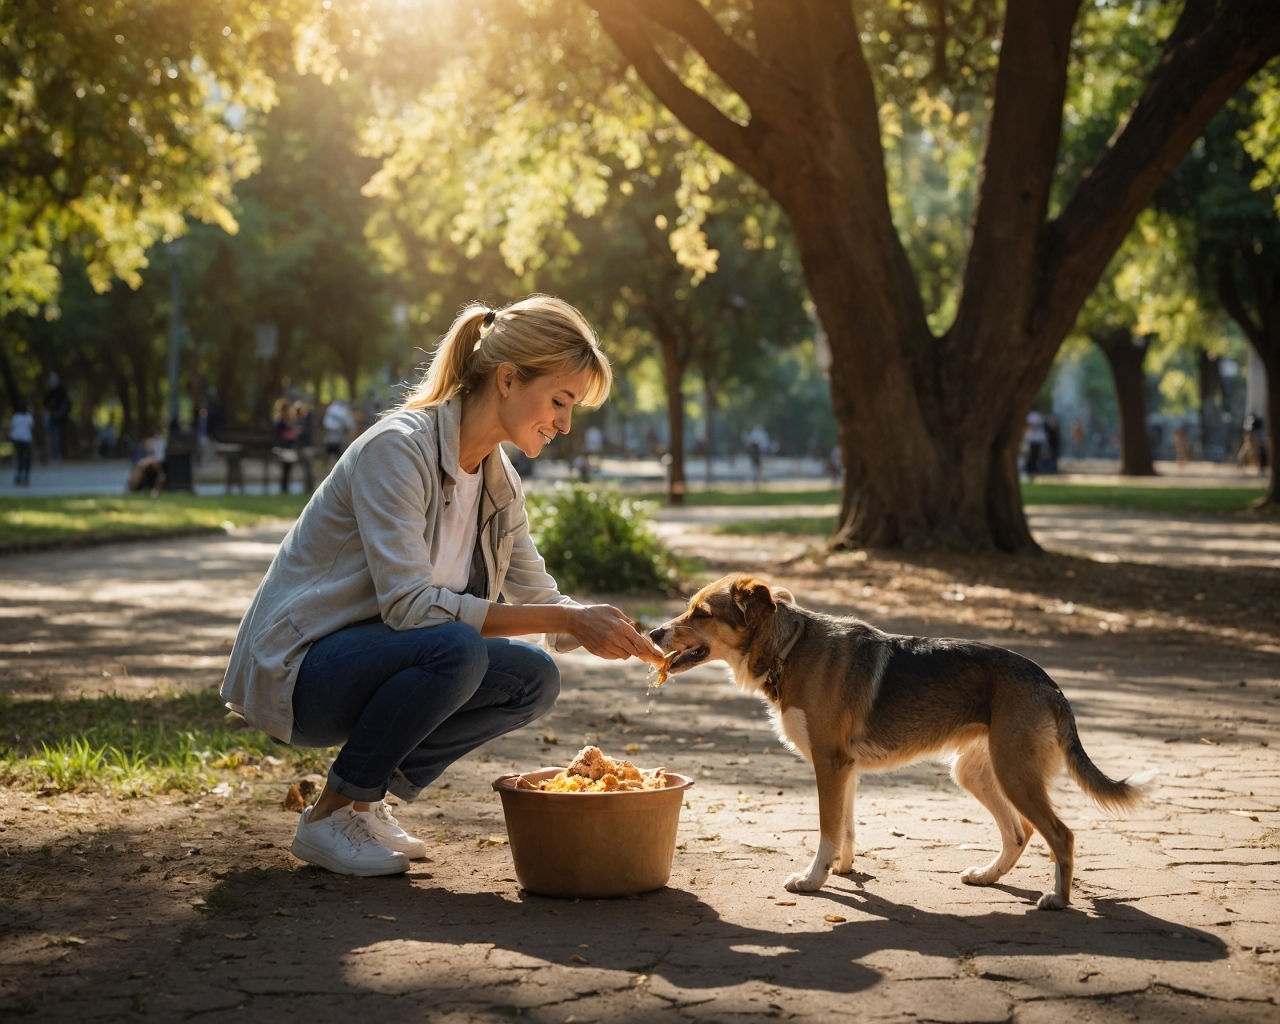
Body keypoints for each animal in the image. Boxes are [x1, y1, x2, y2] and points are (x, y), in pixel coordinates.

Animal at [650, 570, 1152, 906]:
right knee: (1020, 832)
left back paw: (1058, 899)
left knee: (1059, 835)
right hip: (976, 772)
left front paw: (814, 880)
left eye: (701, 613)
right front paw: (843, 869)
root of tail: (1047, 681)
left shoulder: (829, 764)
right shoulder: (844, 769)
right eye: (690, 607)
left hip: (1013, 773)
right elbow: (845, 827)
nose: (654, 631)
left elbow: (826, 829)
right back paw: (987, 877)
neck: (789, 649)